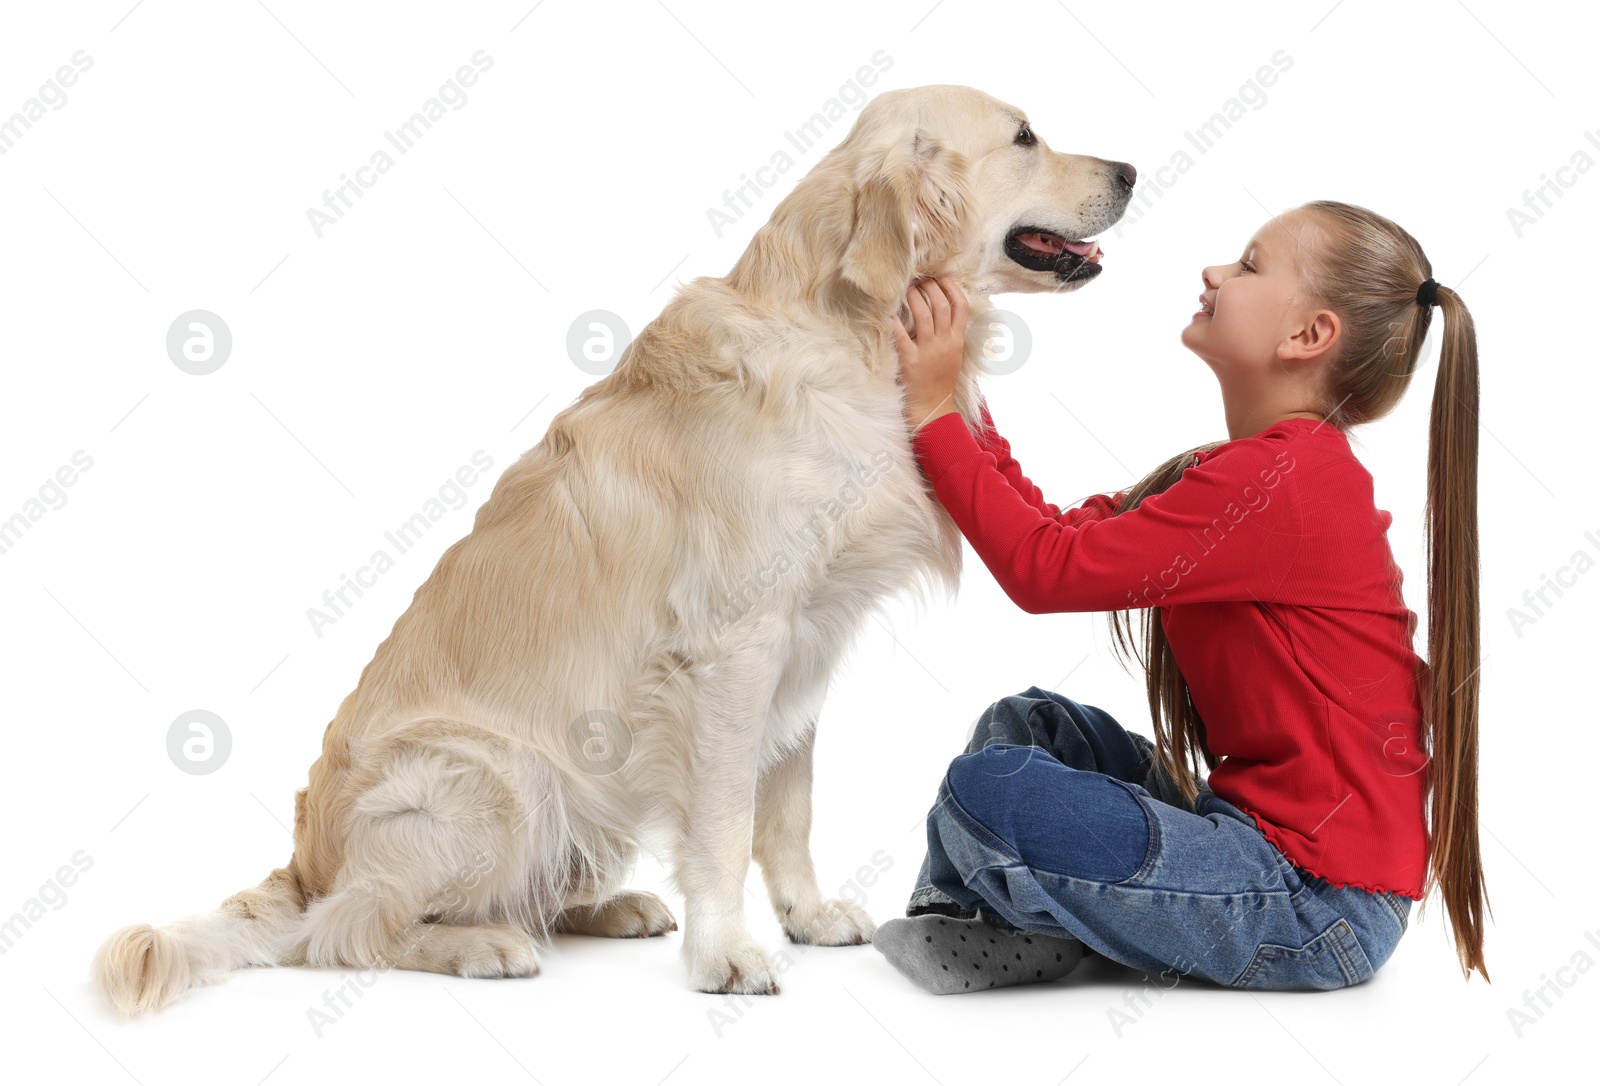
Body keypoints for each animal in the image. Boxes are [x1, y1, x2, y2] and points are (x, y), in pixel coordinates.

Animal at [93, 82, 1132, 1010]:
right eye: (1026, 136)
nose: (1129, 169)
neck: (846, 329)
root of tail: (303, 863)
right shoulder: (735, 645)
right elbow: (726, 821)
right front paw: (728, 956)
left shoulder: (805, 640)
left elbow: (788, 808)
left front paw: (805, 915)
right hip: (492, 776)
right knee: (347, 929)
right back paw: (482, 945)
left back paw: (613, 907)